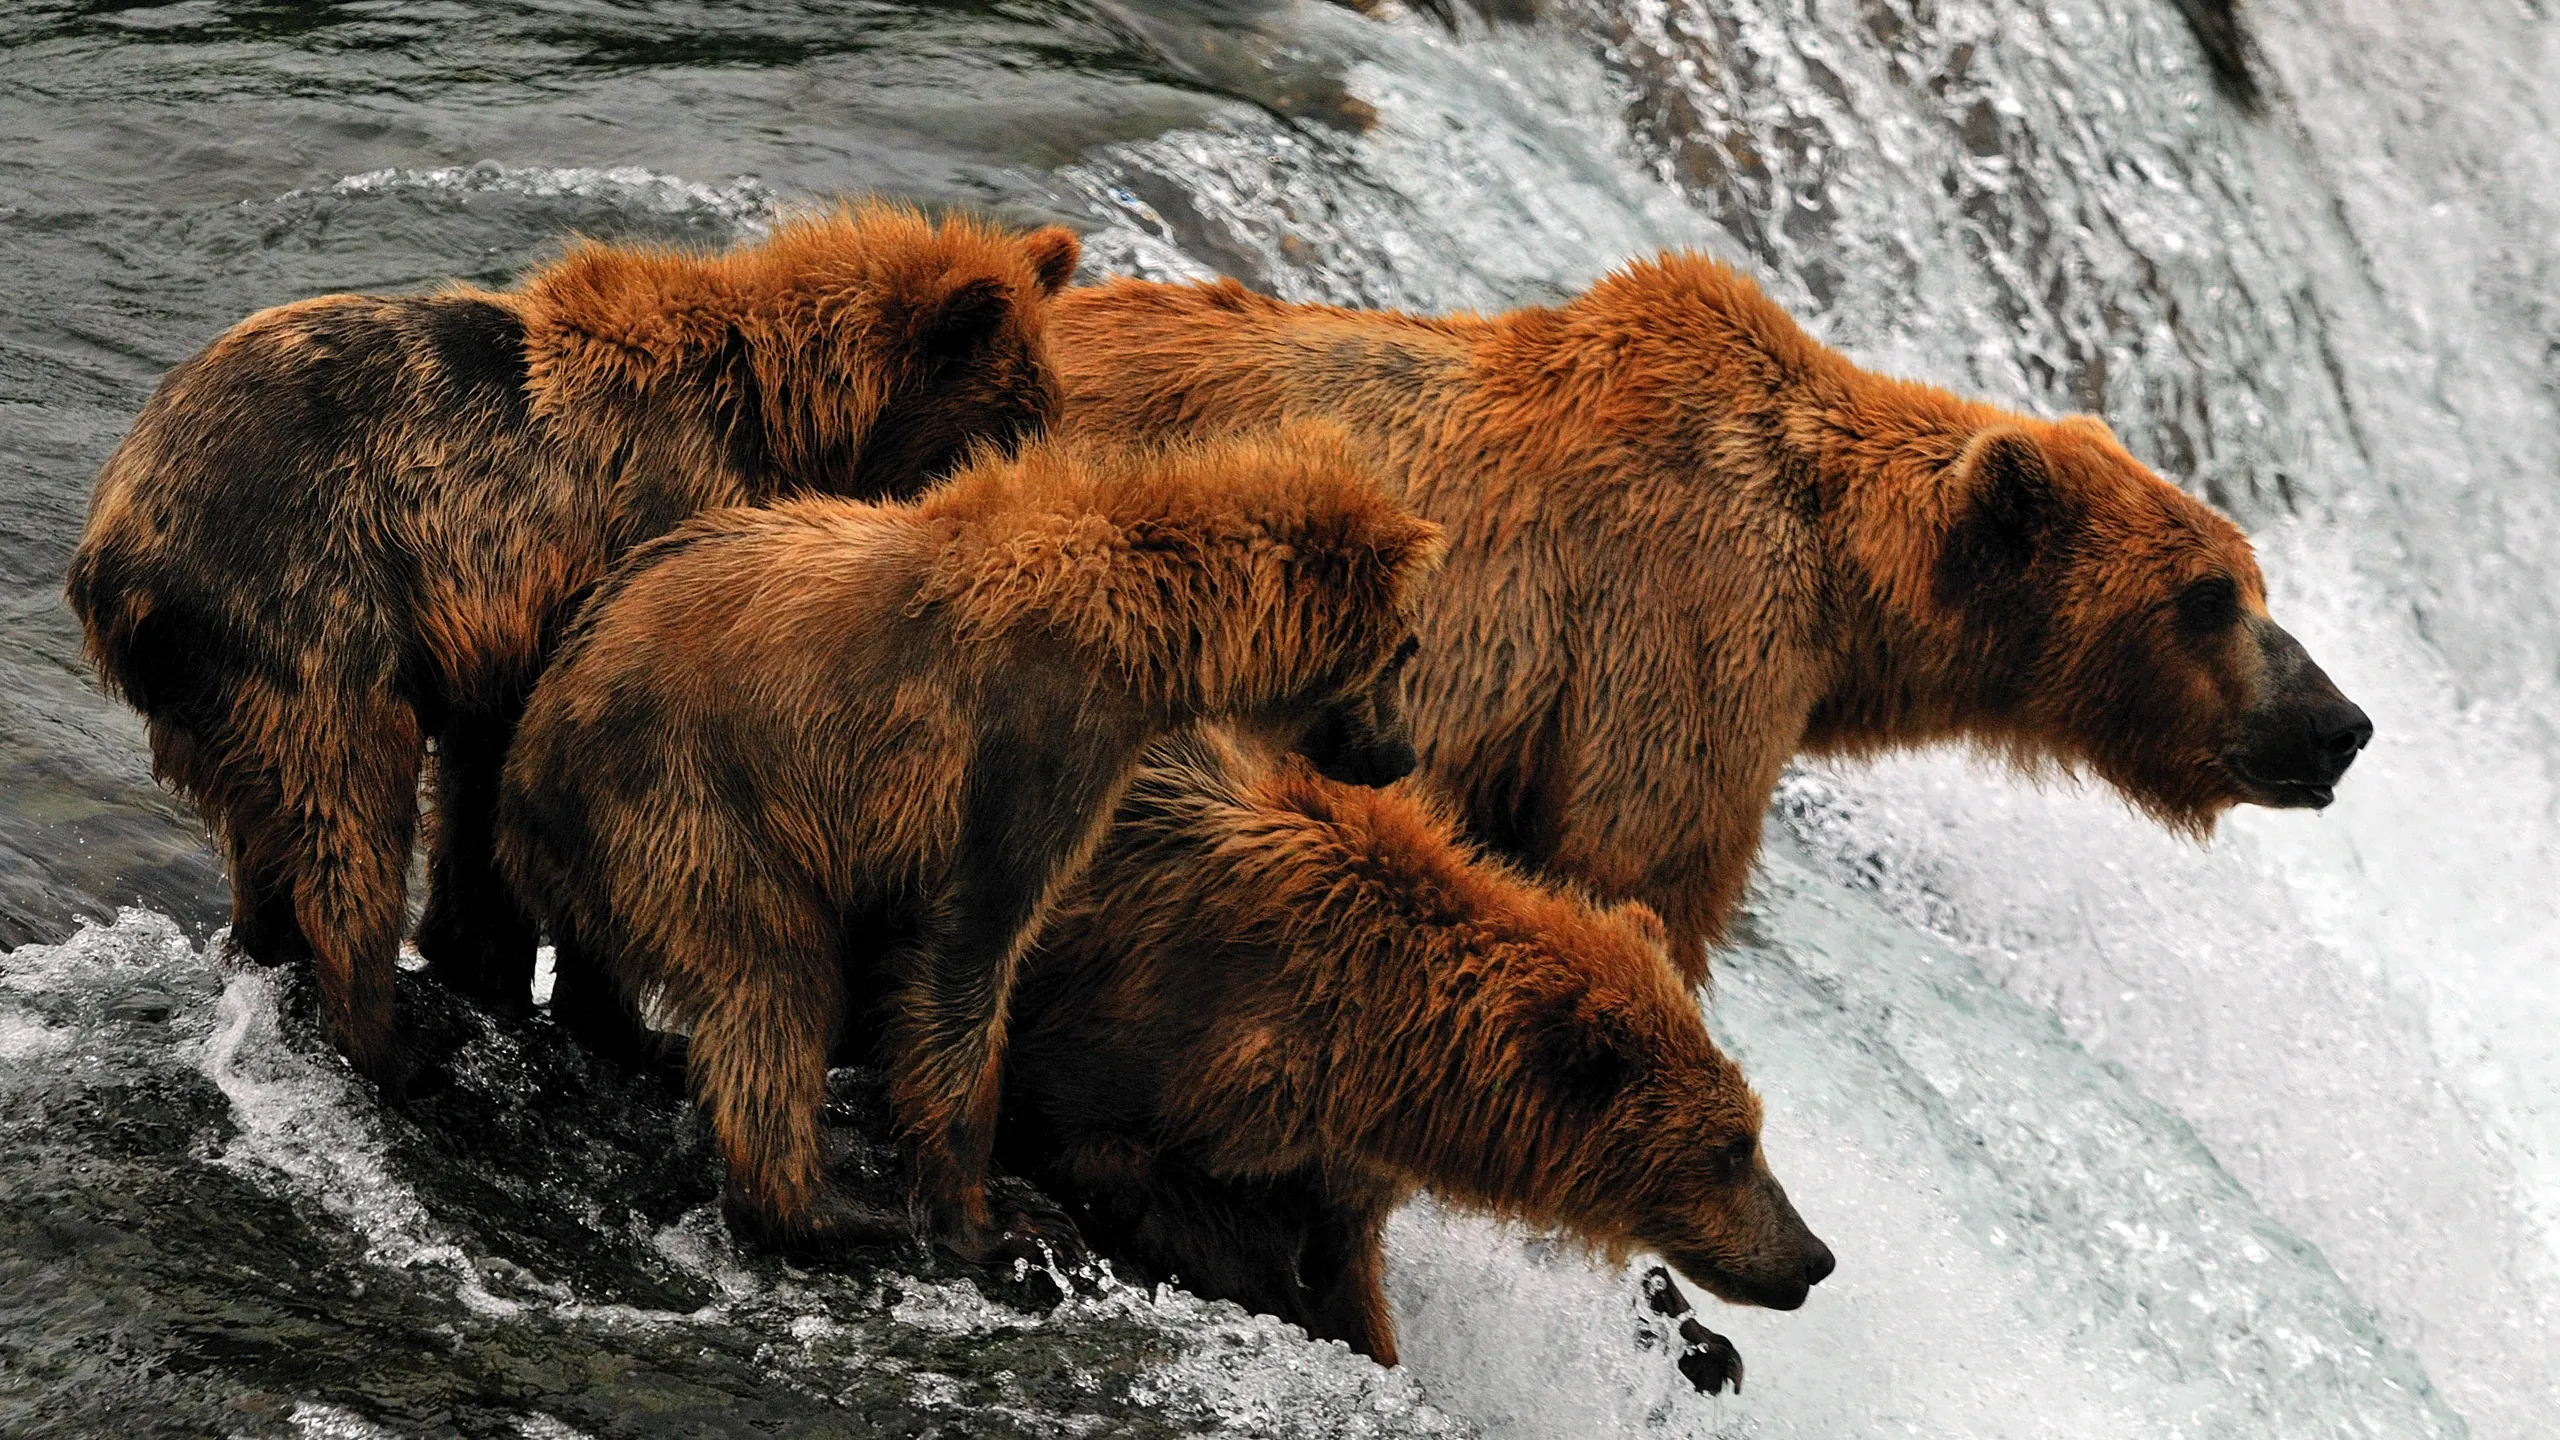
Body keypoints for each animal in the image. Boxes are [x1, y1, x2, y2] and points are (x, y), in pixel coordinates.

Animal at [64, 203, 1080, 1091]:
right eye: (1013, 420)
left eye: (1046, 407)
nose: (1040, 512)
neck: (792, 425)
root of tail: (115, 540)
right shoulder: (642, 548)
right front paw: (629, 1030)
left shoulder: (500, 645)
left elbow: (488, 800)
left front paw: (491, 971)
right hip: (306, 596)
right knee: (345, 800)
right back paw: (392, 1044)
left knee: (270, 822)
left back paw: (271, 952)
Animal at [492, 424, 1444, 1264]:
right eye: (1405, 649)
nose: (1402, 756)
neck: (1150, 631)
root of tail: (533, 747)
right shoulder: (1034, 743)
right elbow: (972, 948)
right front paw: (994, 1220)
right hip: (688, 797)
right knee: (773, 978)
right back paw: (826, 1208)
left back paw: (647, 1042)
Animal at [998, 724, 1835, 1377]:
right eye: (1733, 1146)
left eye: (1751, 1132)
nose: (1814, 1257)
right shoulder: (1148, 1020)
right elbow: (1107, 1152)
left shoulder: (1331, 1159)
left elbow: (1347, 1278)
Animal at [1048, 258, 2372, 983]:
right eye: (2209, 599)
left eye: (2255, 585)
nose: (2341, 721)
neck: (1844, 595)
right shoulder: (1682, 626)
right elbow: (1637, 868)